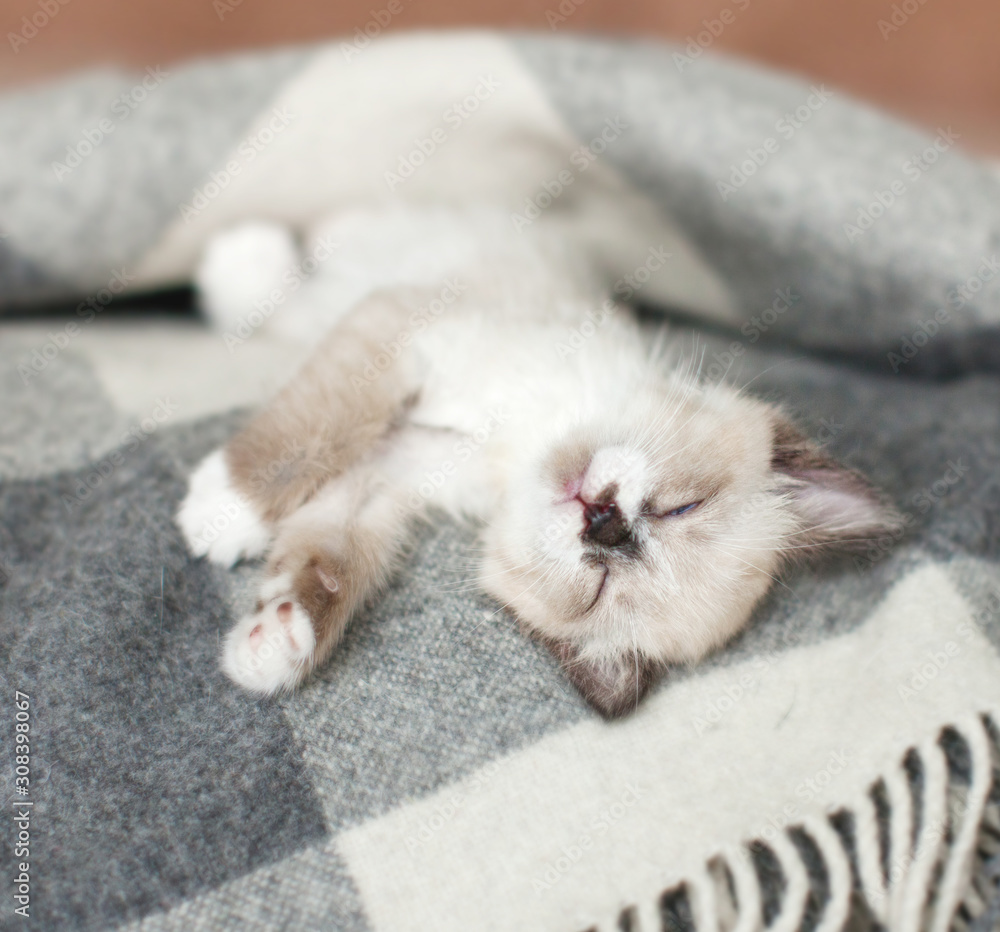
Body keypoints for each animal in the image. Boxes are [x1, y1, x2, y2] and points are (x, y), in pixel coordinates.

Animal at [178, 208, 900, 716]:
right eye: (683, 507)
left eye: (599, 585)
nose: (607, 526)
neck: (515, 448)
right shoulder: (406, 336)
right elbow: (306, 439)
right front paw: (223, 512)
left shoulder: (381, 481)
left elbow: (328, 568)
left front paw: (273, 645)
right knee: (287, 291)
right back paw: (242, 255)